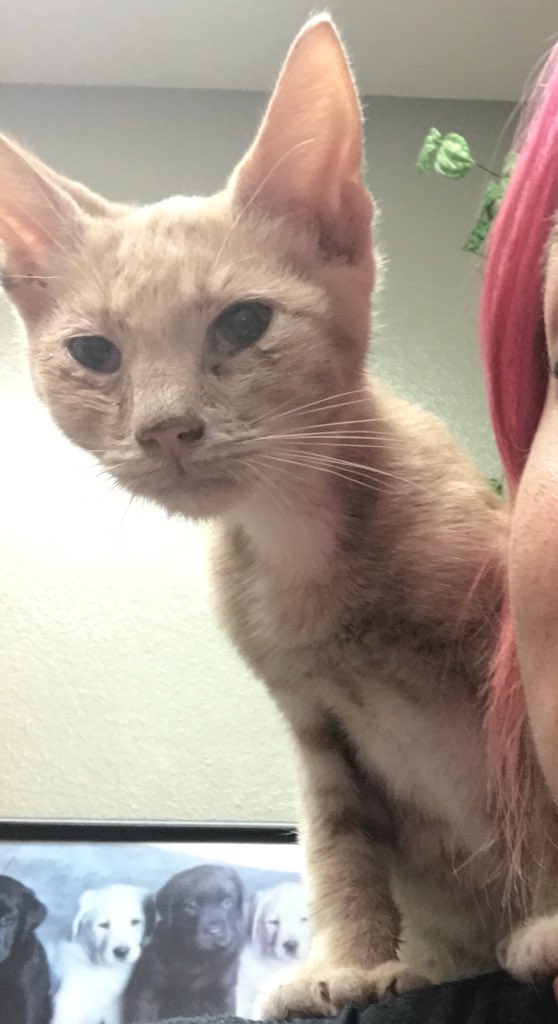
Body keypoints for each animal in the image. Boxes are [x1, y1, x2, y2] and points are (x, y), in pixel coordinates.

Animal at [123, 864, 245, 1022]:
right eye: (192, 906)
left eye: (227, 902)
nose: (214, 931)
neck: (196, 957)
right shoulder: (150, 988)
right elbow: (143, 1015)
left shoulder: (222, 992)